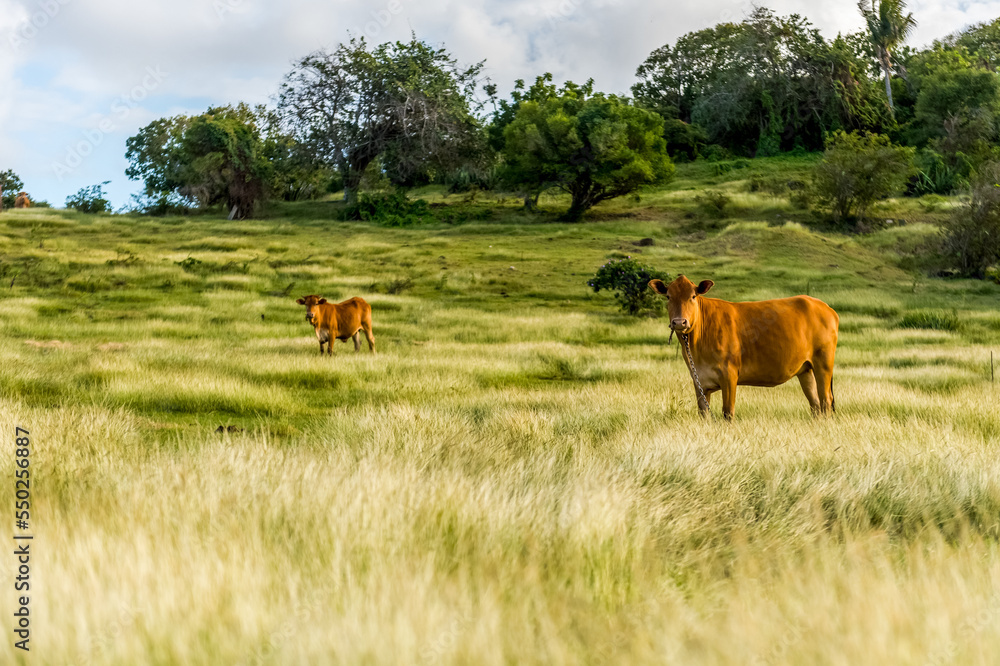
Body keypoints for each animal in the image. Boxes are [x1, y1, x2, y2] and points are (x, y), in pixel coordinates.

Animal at [648, 276, 836, 420]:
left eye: (693, 296)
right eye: (668, 296)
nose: (679, 322)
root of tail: (823, 306)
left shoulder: (729, 374)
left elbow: (728, 413)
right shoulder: (699, 379)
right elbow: (703, 413)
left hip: (823, 362)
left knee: (826, 399)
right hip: (805, 369)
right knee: (815, 403)